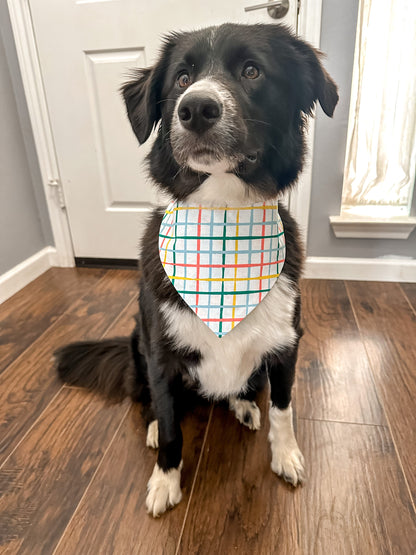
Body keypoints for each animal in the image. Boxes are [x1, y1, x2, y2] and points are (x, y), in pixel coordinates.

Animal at [55, 21, 340, 516]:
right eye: (182, 79)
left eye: (252, 71)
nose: (196, 109)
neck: (223, 217)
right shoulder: (162, 354)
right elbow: (172, 425)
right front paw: (165, 480)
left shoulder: (287, 345)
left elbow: (284, 409)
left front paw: (286, 456)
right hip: (138, 344)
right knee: (147, 399)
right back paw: (152, 426)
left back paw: (243, 404)